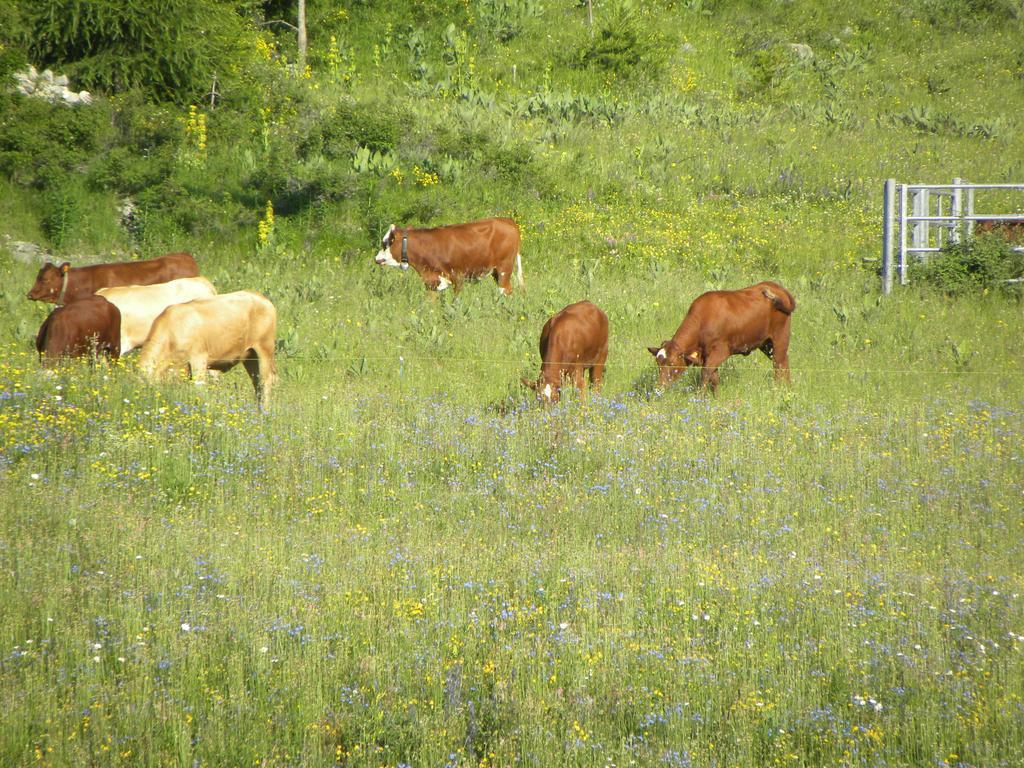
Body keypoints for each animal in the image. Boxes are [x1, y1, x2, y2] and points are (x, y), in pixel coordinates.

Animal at [139, 290, 280, 411]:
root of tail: (260, 297)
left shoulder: (198, 359)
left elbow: (199, 388)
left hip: (264, 349)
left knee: (265, 381)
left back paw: (265, 412)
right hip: (249, 356)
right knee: (257, 383)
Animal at [372, 221, 524, 299]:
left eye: (385, 243)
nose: (376, 258)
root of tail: (509, 222)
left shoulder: (458, 277)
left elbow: (455, 300)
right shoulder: (432, 281)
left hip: (504, 269)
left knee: (506, 291)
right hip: (496, 272)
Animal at [643, 280, 794, 393]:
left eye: (672, 364)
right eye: (658, 363)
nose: (660, 388)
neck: (703, 321)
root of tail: (776, 286)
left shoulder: (720, 351)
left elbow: (705, 374)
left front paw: (700, 399)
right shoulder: (707, 356)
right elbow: (714, 378)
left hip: (780, 337)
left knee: (779, 364)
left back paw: (779, 390)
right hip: (766, 344)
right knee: (784, 362)